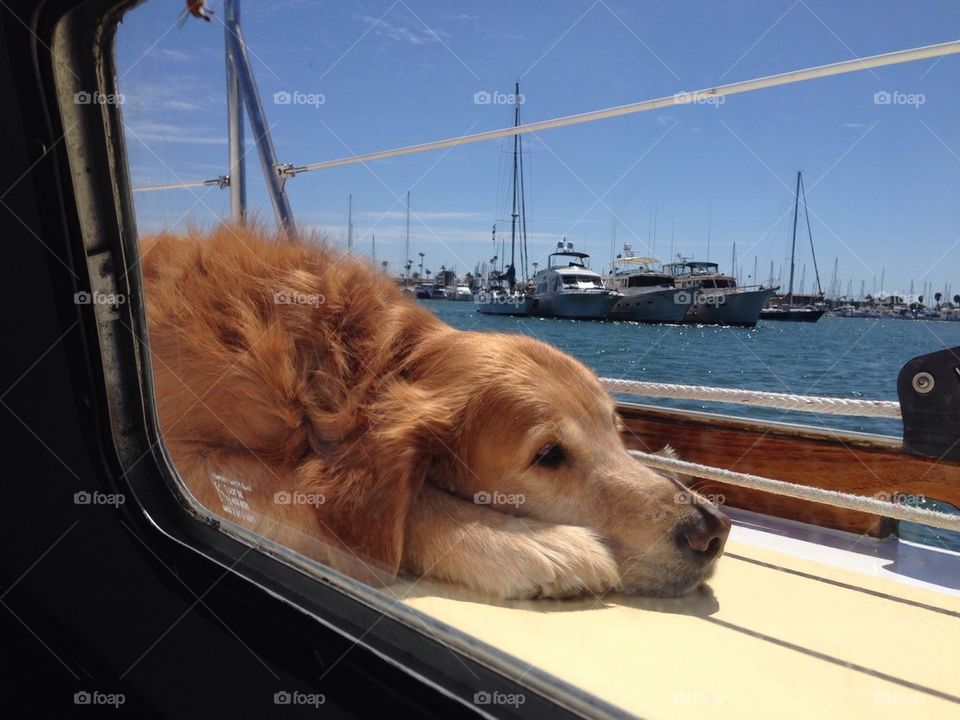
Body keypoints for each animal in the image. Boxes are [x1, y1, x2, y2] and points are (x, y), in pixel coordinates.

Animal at [141, 225, 728, 600]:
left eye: (615, 428)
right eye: (548, 456)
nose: (713, 530)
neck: (336, 373)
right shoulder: (182, 458)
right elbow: (357, 503)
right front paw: (524, 540)